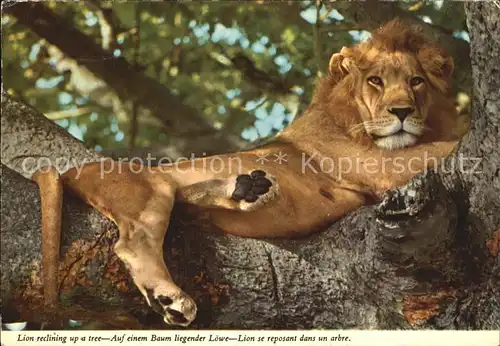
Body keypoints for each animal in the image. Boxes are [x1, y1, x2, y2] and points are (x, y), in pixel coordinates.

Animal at [33, 18, 458, 328]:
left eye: (416, 81)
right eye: (375, 81)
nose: (402, 112)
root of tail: (75, 168)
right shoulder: (376, 164)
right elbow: (445, 147)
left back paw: (248, 188)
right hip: (148, 191)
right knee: (134, 242)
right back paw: (172, 298)